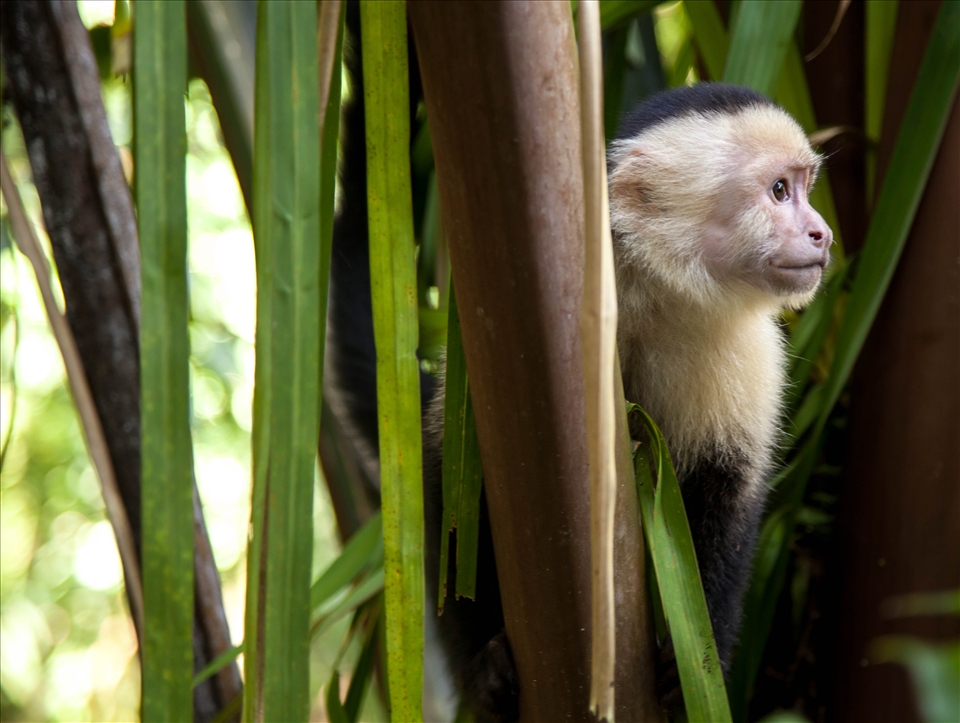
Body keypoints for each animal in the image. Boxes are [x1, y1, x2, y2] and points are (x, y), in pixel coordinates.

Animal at [327, 9, 832, 718]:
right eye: (779, 191)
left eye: (804, 187)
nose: (822, 233)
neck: (652, 291)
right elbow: (449, 491)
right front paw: (482, 655)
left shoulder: (745, 346)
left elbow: (728, 488)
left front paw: (695, 656)